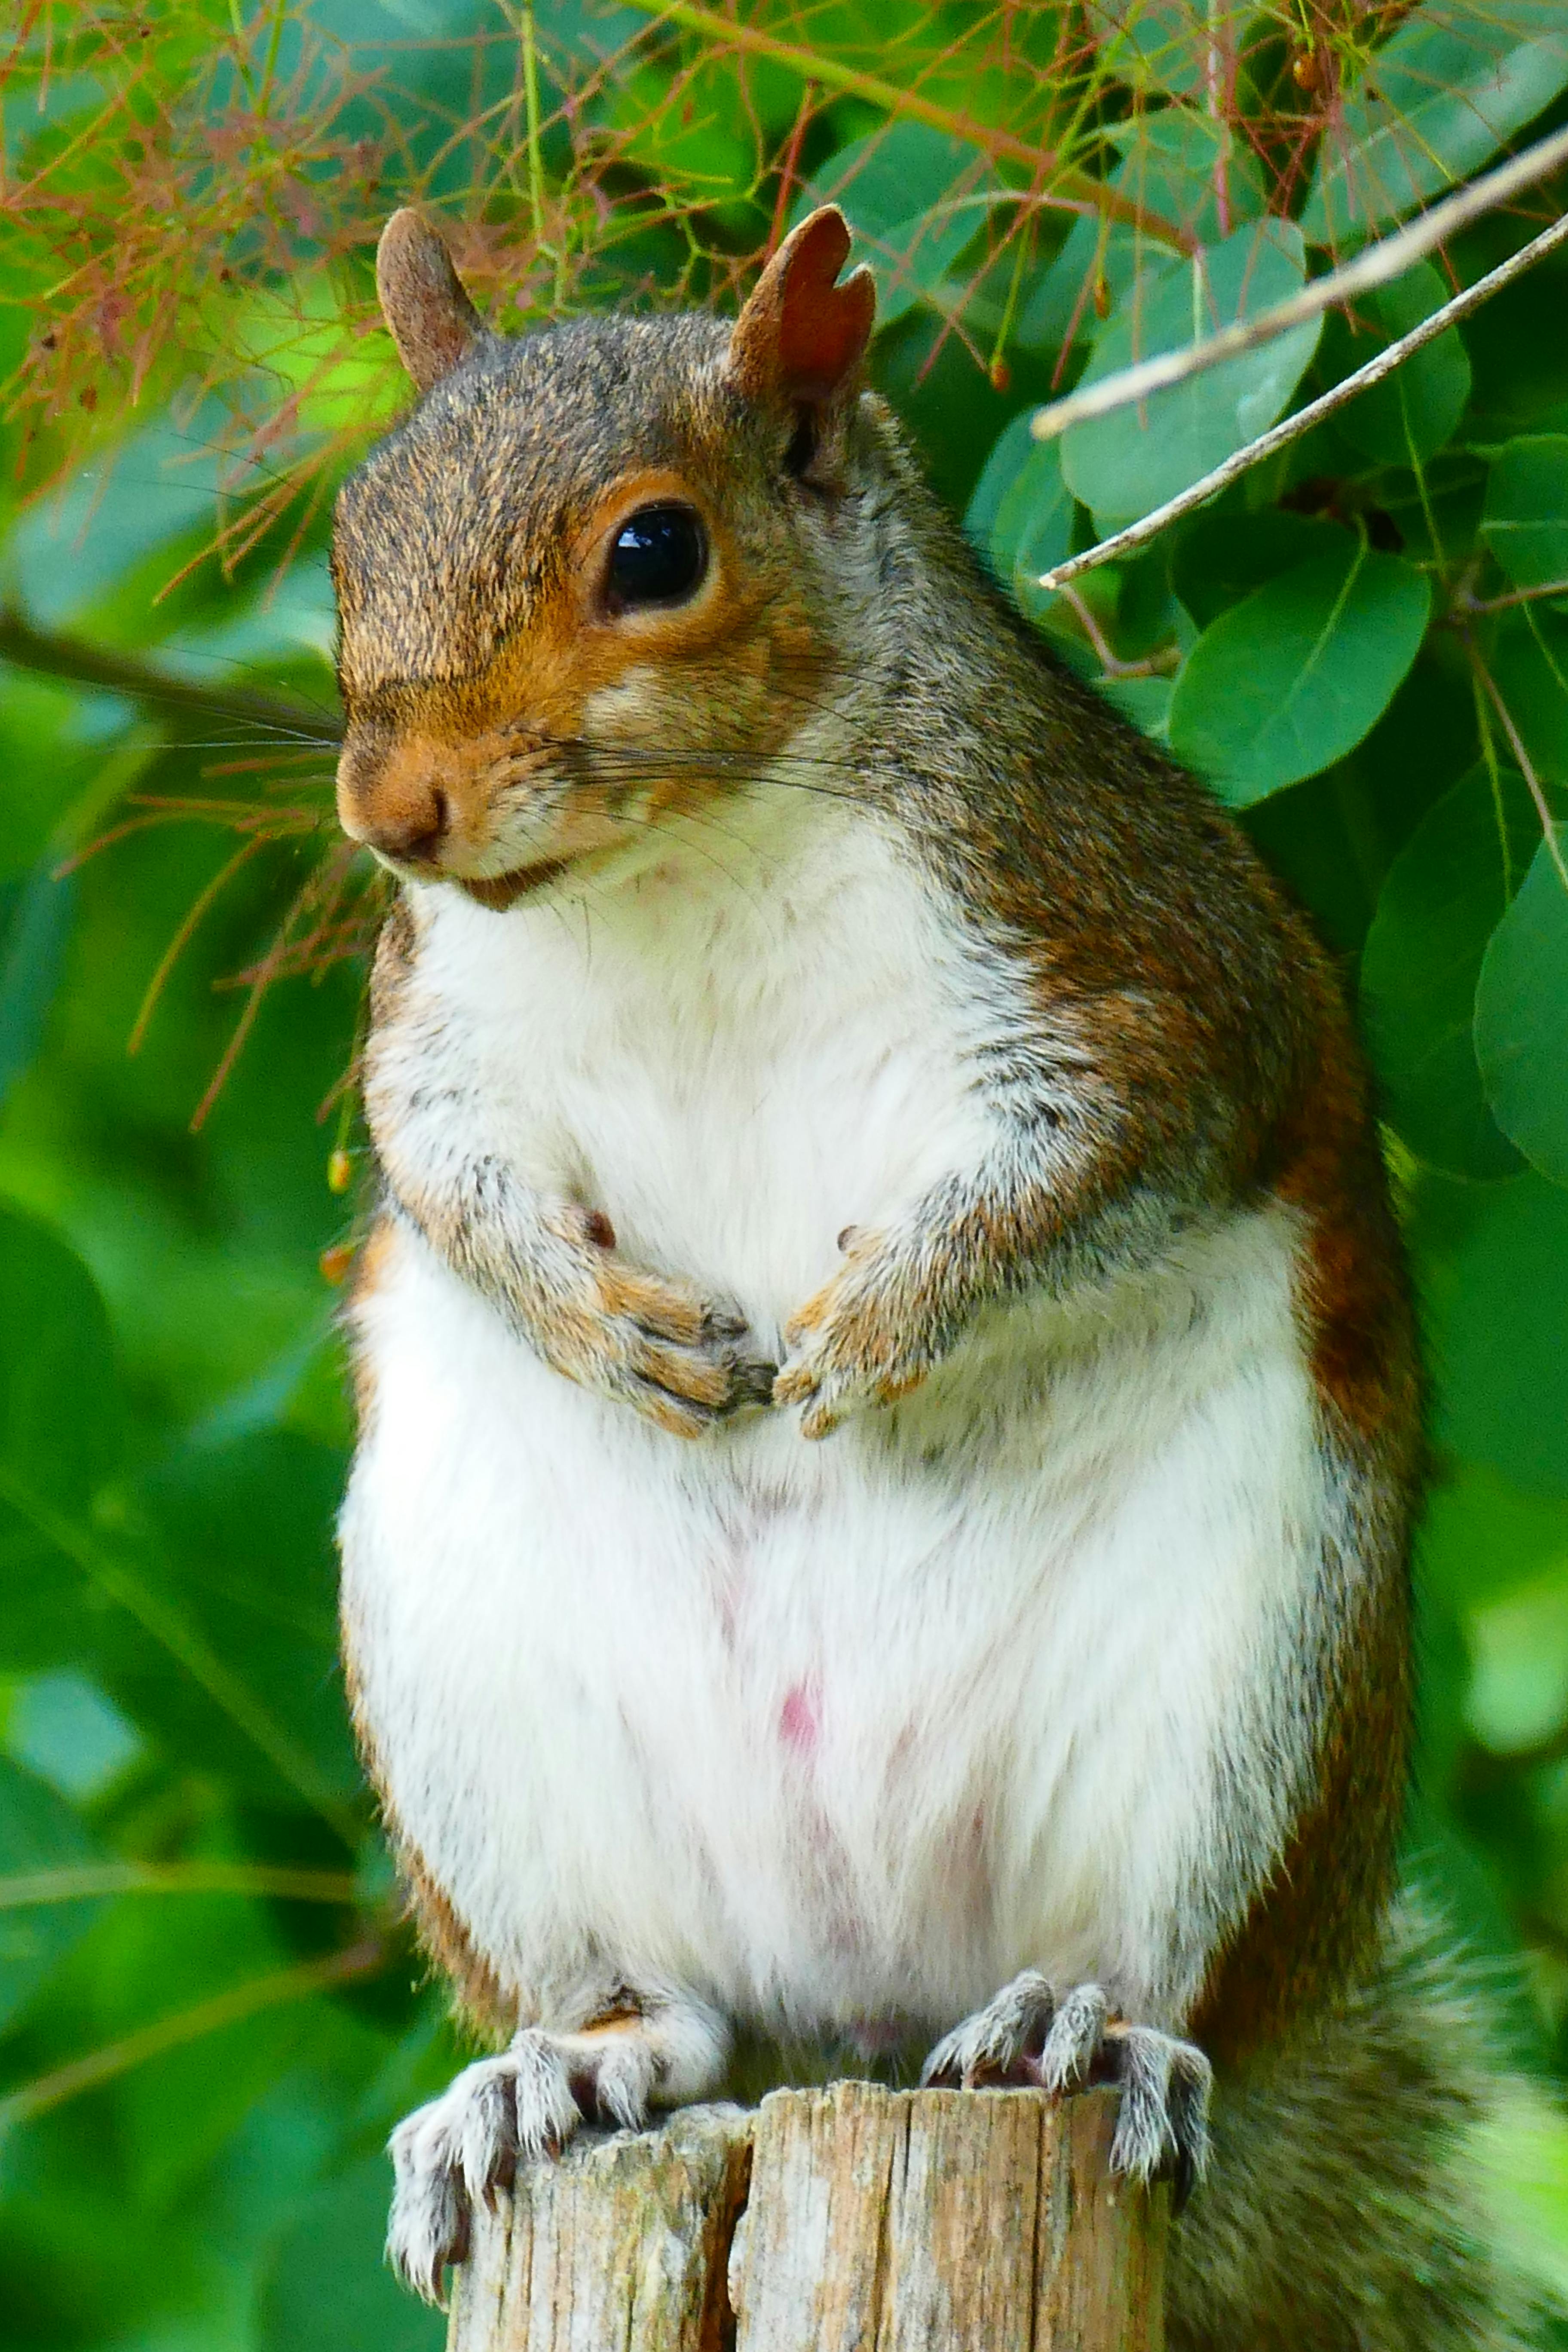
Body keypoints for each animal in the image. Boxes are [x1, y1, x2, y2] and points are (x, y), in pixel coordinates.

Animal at [333, 202, 1534, 2348]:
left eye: (657, 551)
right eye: (346, 530)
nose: (391, 812)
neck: (676, 868)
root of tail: (872, 2012)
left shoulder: (1125, 952)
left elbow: (1101, 1156)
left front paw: (871, 1329)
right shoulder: (437, 1026)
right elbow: (442, 1175)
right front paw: (603, 1322)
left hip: (1247, 1665)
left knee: (1160, 1952)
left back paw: (1089, 2025)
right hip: (474, 1679)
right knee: (669, 2014)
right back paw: (556, 2072)